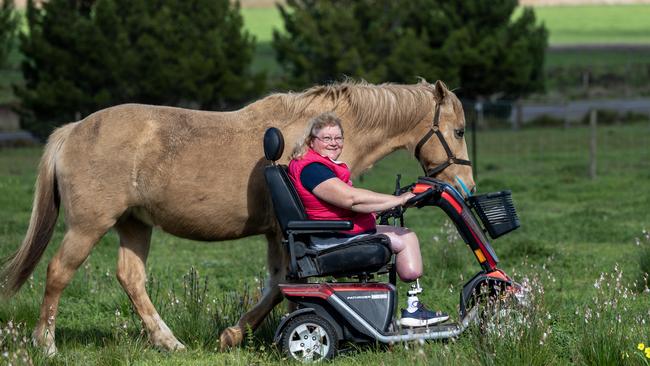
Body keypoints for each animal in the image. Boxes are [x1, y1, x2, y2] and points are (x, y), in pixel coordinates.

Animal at [2, 79, 474, 354]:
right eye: (459, 130)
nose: (466, 187)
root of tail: (72, 131)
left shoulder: (275, 235)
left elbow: (279, 286)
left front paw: (238, 334)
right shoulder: (285, 229)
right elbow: (282, 288)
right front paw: (242, 334)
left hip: (135, 225)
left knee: (130, 279)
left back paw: (169, 342)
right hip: (88, 227)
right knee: (58, 273)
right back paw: (46, 345)